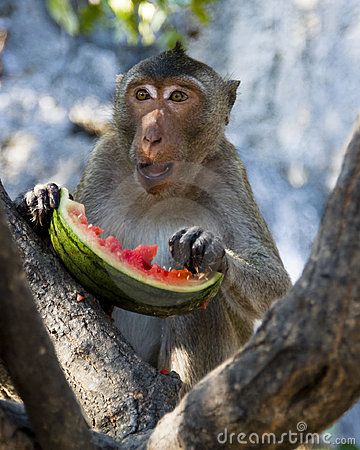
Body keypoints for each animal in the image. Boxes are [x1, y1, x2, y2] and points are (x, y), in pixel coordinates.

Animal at [16, 43, 292, 394]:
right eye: (143, 95)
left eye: (178, 97)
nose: (150, 136)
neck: (163, 192)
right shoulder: (106, 157)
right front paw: (38, 201)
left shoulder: (227, 172)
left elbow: (277, 289)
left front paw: (212, 252)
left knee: (202, 306)